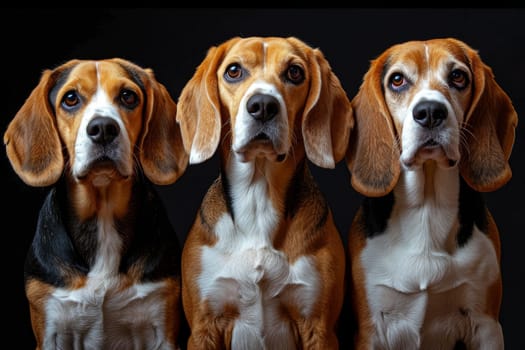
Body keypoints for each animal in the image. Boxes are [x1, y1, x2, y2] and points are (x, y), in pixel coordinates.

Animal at [4, 58, 188, 348]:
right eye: (70, 98)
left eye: (128, 96)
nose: (103, 128)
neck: (103, 213)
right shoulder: (50, 328)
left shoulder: (162, 327)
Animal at [176, 35, 352, 348]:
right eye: (234, 71)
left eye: (295, 72)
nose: (263, 105)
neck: (258, 197)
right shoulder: (203, 328)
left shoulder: (319, 328)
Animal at [344, 37, 516, 348]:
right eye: (397, 80)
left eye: (458, 76)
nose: (430, 112)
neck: (427, 209)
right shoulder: (370, 329)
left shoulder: (486, 324)